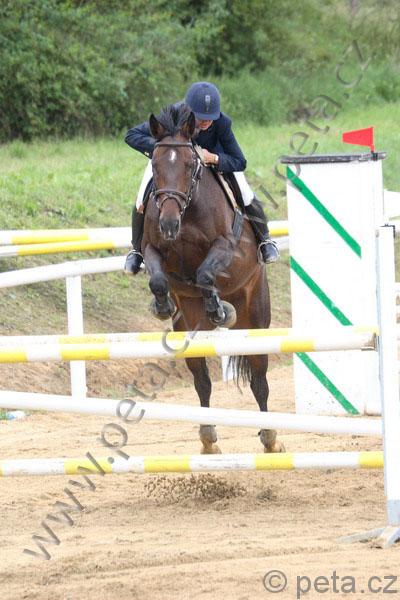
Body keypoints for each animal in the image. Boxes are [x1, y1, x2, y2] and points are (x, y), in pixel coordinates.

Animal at [141, 103, 284, 455]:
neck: (187, 212)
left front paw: (219, 310)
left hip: (256, 314)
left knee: (259, 380)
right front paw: (161, 305)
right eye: (154, 164)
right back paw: (208, 439)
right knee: (201, 380)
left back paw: (270, 438)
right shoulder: (152, 248)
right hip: (187, 327)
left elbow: (206, 272)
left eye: (191, 164)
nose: (168, 224)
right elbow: (159, 279)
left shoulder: (226, 247)